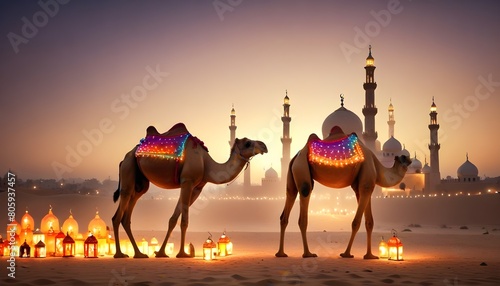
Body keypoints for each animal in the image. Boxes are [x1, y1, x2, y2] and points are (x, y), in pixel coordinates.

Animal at [112, 122, 268, 258]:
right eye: (247, 143)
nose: (264, 146)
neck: (207, 164)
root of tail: (124, 158)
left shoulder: (196, 188)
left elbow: (173, 219)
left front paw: (161, 253)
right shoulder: (187, 181)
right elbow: (184, 221)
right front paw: (182, 253)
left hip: (140, 182)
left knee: (127, 215)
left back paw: (139, 254)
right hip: (128, 169)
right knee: (118, 213)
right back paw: (119, 254)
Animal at [276, 125, 412, 260]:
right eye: (404, 157)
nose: (410, 161)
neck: (377, 167)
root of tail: (296, 156)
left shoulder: (362, 188)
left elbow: (369, 222)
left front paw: (370, 256)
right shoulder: (366, 183)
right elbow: (356, 222)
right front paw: (346, 254)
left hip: (292, 176)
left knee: (286, 207)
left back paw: (281, 253)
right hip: (302, 168)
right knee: (304, 202)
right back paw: (308, 254)